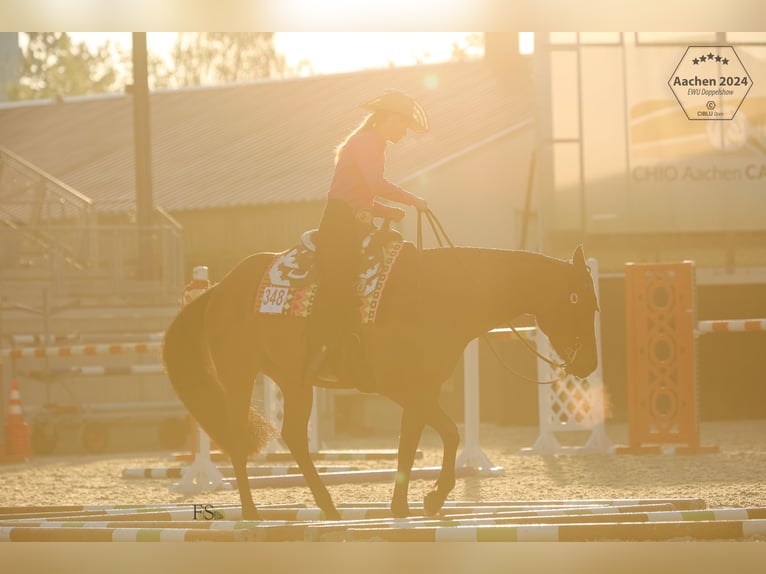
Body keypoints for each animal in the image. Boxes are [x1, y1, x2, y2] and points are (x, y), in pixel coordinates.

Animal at [161, 236, 600, 520]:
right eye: (578, 300)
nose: (590, 365)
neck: (443, 293)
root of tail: (218, 289)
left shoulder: (420, 392)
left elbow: (420, 442)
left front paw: (411, 503)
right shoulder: (406, 389)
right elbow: (439, 437)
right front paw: (425, 501)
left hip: (294, 382)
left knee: (294, 437)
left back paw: (327, 506)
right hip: (240, 374)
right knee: (238, 436)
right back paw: (253, 511)